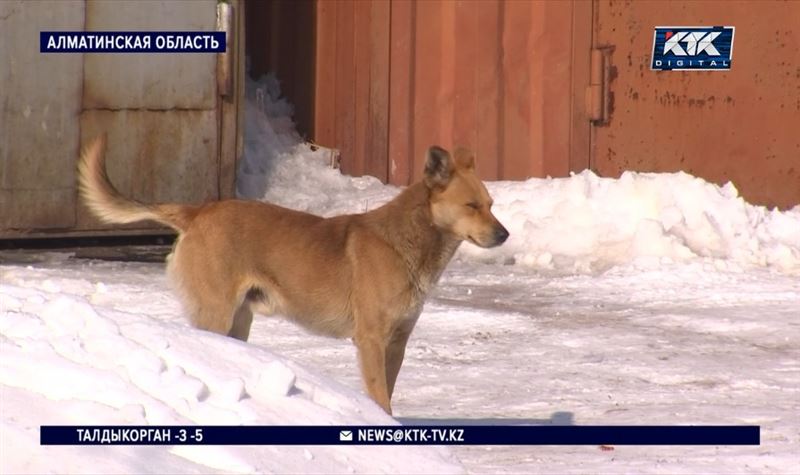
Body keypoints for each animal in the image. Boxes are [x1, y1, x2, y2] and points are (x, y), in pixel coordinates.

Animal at [79, 136, 506, 414]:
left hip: (239, 320)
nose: (504, 235)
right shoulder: (371, 340)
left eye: (491, 204)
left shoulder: (397, 342)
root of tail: (198, 211)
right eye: (471, 206)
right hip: (215, 313)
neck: (410, 241)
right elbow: (379, 398)